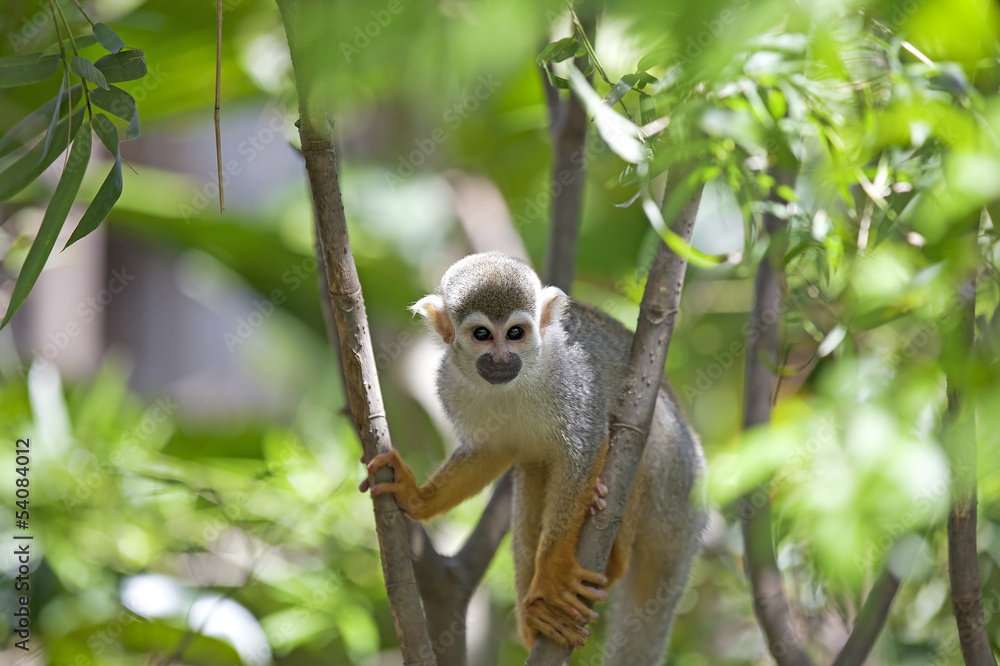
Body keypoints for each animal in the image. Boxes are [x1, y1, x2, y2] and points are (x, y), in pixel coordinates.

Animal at [360, 251, 705, 664]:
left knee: (643, 437)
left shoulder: (573, 376)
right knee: (530, 473)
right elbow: (491, 451)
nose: (501, 359)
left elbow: (586, 447)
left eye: (515, 333)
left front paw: (553, 573)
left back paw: (614, 553)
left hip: (676, 478)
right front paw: (417, 497)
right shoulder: (449, 383)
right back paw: (534, 622)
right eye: (481, 335)